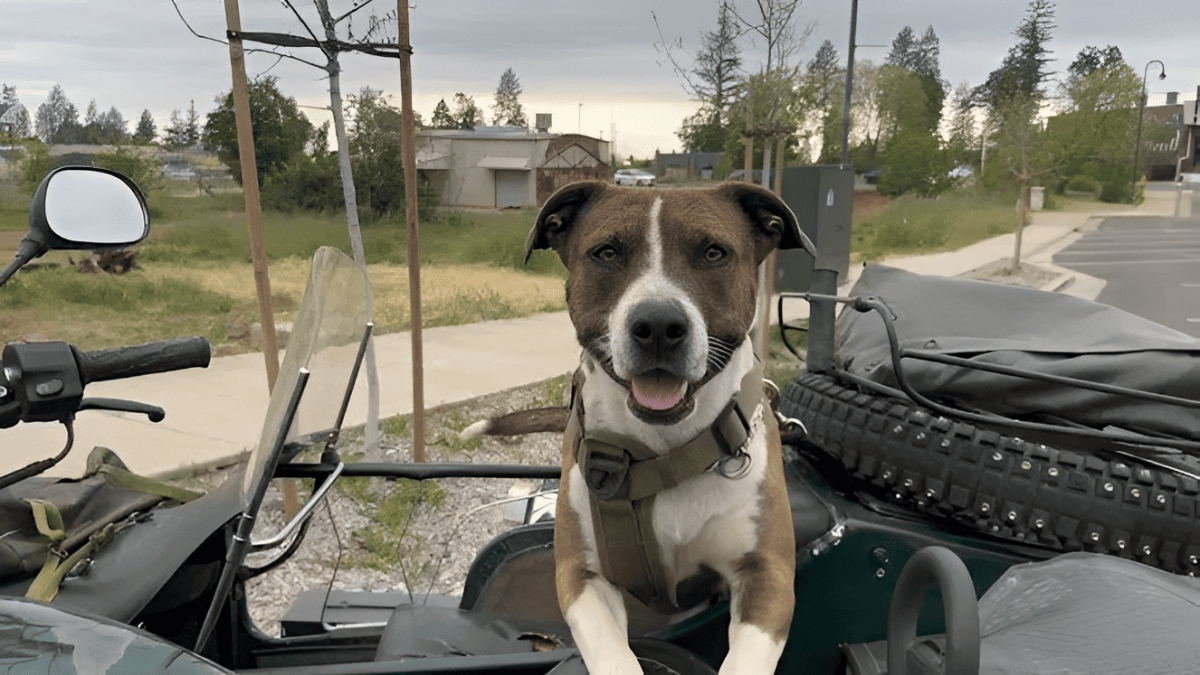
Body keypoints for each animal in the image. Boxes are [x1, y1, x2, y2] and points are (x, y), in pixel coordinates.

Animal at [477, 180, 806, 672]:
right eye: (607, 252)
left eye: (713, 252)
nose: (658, 324)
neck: (665, 450)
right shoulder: (581, 575)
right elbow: (614, 655)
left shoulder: (767, 575)